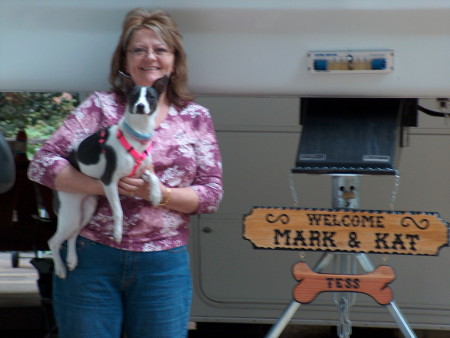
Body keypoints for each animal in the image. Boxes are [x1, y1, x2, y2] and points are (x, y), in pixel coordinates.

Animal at [48, 78, 167, 278]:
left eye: (151, 97)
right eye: (133, 96)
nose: (140, 106)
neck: (137, 134)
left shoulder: (140, 172)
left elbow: (153, 176)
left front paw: (156, 194)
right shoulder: (110, 182)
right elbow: (118, 211)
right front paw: (118, 233)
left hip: (87, 210)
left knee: (73, 235)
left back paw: (71, 260)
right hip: (70, 214)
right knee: (54, 241)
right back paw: (60, 268)